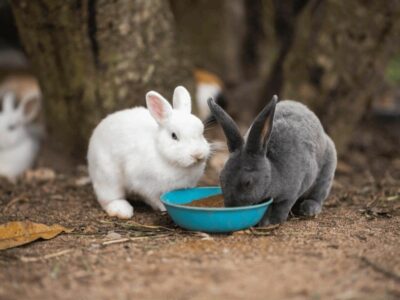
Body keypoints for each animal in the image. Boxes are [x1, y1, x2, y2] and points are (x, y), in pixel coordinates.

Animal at [88, 85, 211, 219]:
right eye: (174, 136)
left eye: (201, 132)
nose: (198, 154)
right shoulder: (145, 186)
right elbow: (155, 199)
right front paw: (163, 208)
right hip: (107, 177)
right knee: (109, 198)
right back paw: (122, 210)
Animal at [208, 96, 336, 225]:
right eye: (221, 177)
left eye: (248, 182)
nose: (232, 206)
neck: (272, 171)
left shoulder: (293, 192)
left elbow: (282, 208)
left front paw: (274, 222)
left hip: (326, 173)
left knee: (318, 194)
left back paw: (309, 208)